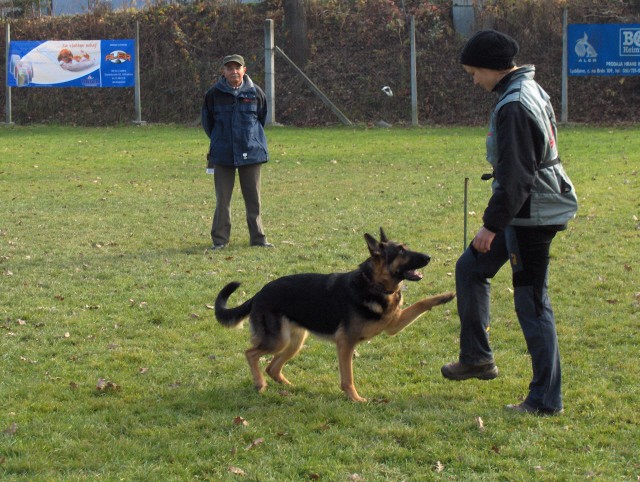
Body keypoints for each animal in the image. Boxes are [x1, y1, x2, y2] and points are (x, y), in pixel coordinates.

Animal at [215, 228, 456, 402]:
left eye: (406, 247)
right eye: (401, 252)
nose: (429, 257)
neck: (374, 285)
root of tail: (258, 293)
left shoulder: (393, 326)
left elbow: (422, 303)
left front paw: (446, 296)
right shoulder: (345, 343)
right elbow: (347, 377)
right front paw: (355, 399)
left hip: (294, 341)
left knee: (271, 367)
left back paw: (290, 387)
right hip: (278, 341)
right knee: (250, 353)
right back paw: (260, 383)